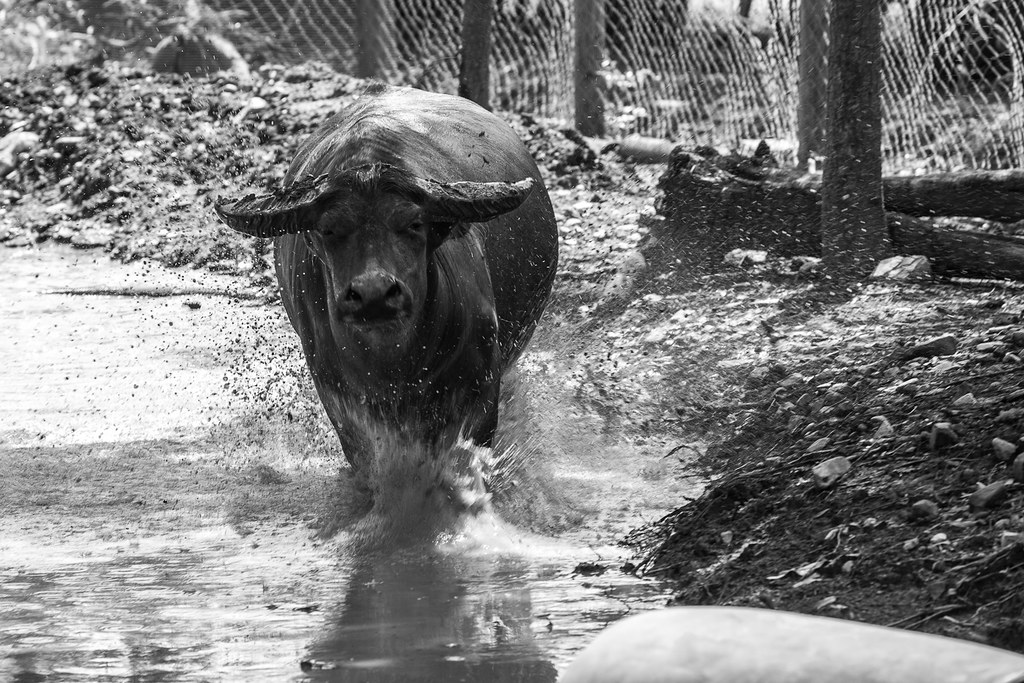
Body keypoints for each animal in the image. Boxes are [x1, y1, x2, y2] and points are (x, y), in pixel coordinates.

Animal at [216, 84, 558, 493]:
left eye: (413, 224)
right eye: (328, 229)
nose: (374, 294)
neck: (395, 362)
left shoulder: (480, 387)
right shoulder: (342, 400)